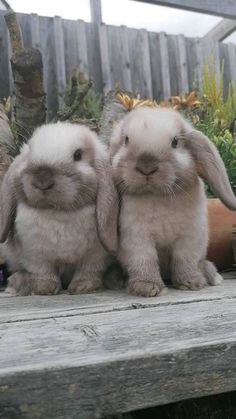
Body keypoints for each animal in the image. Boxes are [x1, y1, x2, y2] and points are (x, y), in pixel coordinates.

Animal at [0, 123, 118, 296]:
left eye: (78, 155)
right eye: (30, 152)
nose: (42, 181)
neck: (58, 211)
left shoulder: (95, 255)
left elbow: (88, 271)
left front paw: (83, 287)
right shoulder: (35, 253)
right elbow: (42, 271)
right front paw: (44, 289)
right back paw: (19, 282)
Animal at [109, 108, 236, 298]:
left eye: (175, 142)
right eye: (126, 140)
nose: (146, 167)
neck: (157, 196)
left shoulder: (189, 237)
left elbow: (185, 259)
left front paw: (191, 283)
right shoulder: (137, 238)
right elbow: (144, 260)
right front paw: (147, 287)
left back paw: (210, 275)